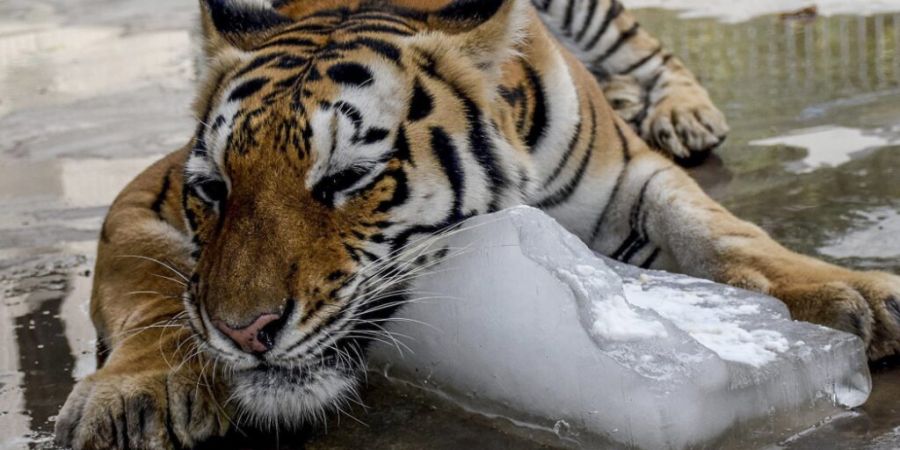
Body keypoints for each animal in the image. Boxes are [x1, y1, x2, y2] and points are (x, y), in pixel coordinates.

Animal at [55, 0, 900, 449]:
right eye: (213, 189)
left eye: (346, 180)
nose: (243, 332)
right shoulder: (143, 197)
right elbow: (157, 293)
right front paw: (137, 392)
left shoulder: (631, 178)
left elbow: (720, 227)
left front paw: (855, 294)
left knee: (652, 50)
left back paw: (680, 110)